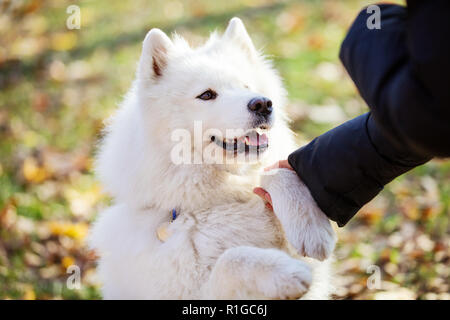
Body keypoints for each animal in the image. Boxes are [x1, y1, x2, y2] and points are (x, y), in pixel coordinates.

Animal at [89, 18, 336, 300]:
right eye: (206, 95)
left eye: (247, 86)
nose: (263, 104)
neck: (214, 202)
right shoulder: (189, 290)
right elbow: (231, 259)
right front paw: (285, 271)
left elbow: (275, 173)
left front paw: (311, 227)